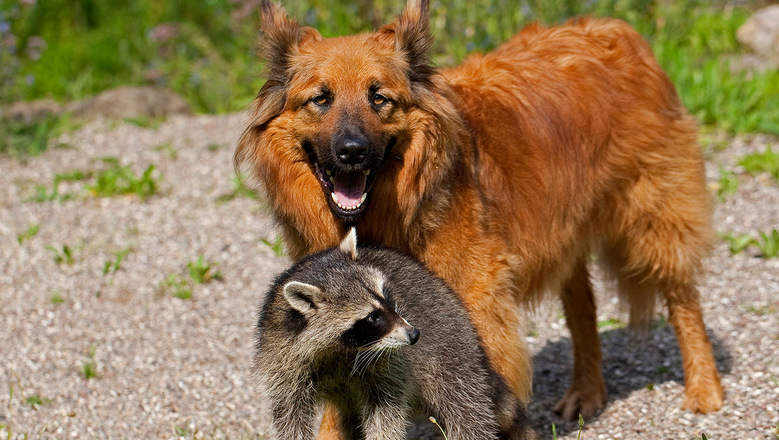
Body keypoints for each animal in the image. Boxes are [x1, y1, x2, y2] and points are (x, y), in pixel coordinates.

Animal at [256, 230, 536, 440]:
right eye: (372, 317)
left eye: (387, 297)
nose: (414, 334)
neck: (342, 350)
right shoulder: (281, 357)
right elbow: (289, 416)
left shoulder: (389, 365)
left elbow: (386, 411)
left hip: (449, 343)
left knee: (465, 406)